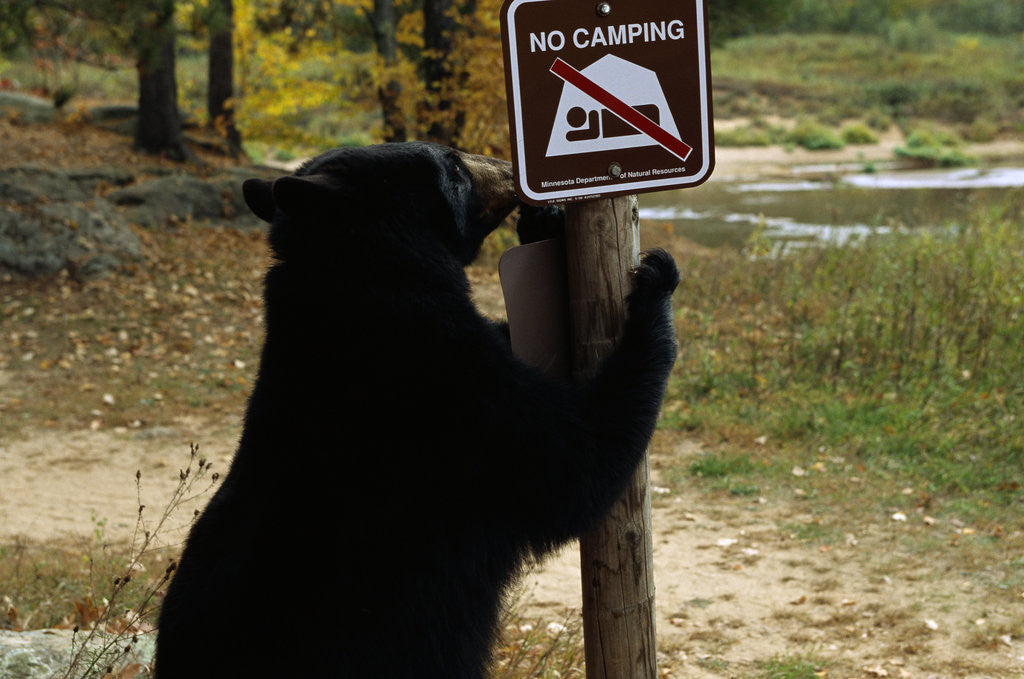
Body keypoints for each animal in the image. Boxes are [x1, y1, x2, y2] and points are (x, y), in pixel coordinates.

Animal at [154, 141, 679, 679]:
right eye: (452, 165)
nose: (509, 170)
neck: (362, 285)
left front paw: (546, 224)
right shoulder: (445, 394)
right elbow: (575, 463)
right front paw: (653, 286)